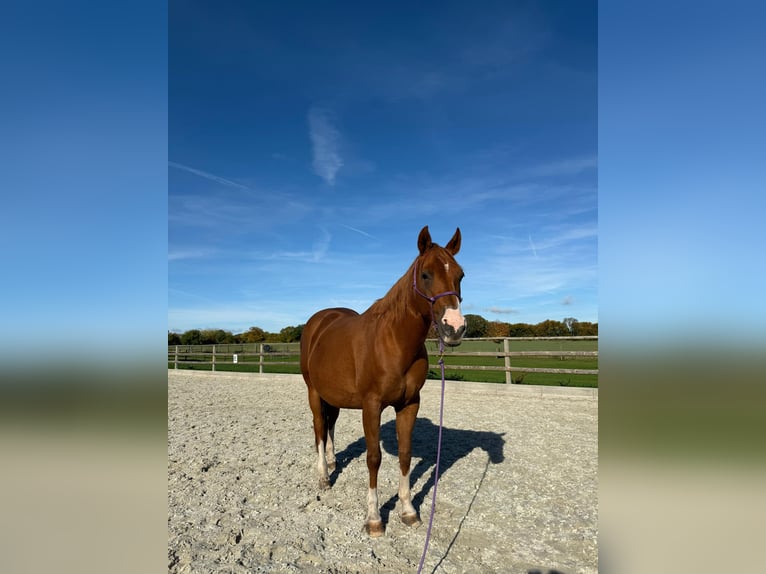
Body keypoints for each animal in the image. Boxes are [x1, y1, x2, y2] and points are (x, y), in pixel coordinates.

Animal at [300, 225, 466, 537]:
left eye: (460, 275)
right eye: (426, 274)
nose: (455, 328)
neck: (394, 342)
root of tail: (319, 321)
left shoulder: (409, 404)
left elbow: (405, 454)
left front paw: (409, 511)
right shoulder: (372, 405)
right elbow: (374, 457)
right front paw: (374, 518)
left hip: (334, 395)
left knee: (330, 424)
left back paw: (332, 460)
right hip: (314, 392)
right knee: (318, 428)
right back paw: (324, 476)